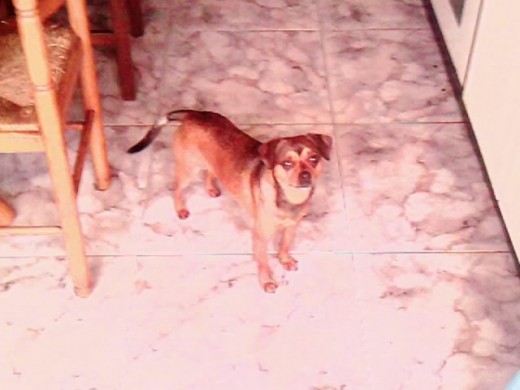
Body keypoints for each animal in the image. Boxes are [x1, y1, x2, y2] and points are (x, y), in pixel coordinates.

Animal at [128, 109, 332, 292]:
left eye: (314, 159)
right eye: (287, 164)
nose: (306, 176)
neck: (289, 197)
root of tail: (193, 114)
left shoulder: (292, 227)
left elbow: (285, 245)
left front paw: (285, 260)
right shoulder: (260, 236)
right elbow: (263, 262)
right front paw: (266, 281)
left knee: (211, 172)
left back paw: (211, 188)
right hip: (188, 169)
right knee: (178, 188)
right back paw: (180, 209)